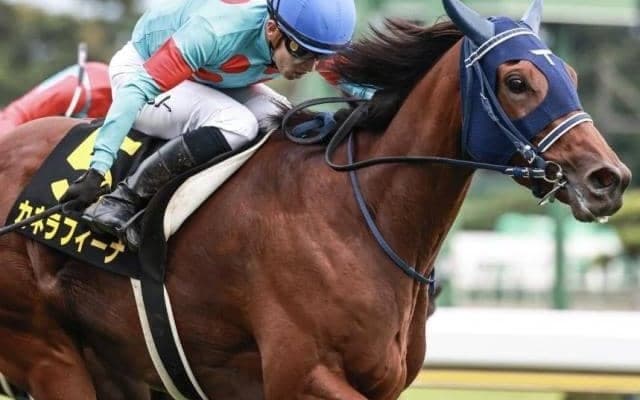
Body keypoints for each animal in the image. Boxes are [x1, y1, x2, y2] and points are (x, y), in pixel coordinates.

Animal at [0, 0, 630, 398]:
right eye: (517, 81)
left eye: (572, 76)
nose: (609, 179)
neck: (360, 215)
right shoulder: (302, 374)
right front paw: (92, 185)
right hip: (50, 355)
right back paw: (105, 201)